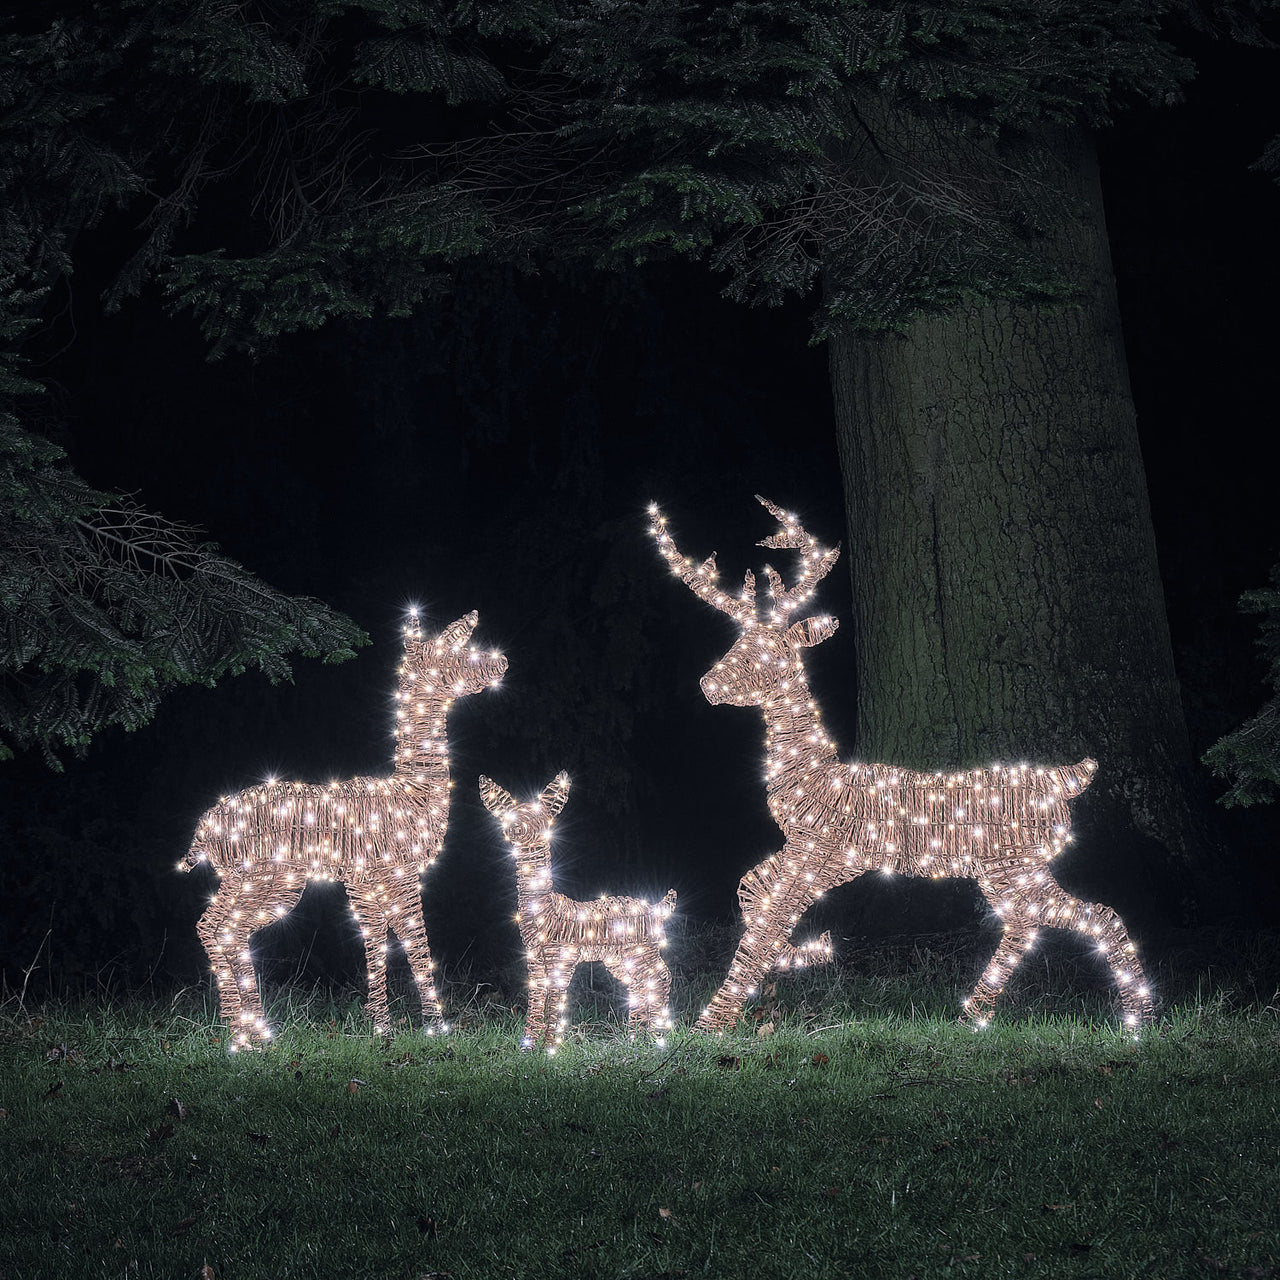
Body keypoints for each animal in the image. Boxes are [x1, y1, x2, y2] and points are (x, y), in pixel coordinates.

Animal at [181, 610, 507, 1050]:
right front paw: (431, 1027)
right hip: (266, 879)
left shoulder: (370, 882)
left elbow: (380, 938)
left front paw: (386, 1025)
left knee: (220, 929)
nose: (501, 662)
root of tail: (205, 830)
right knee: (219, 928)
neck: (414, 793)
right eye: (458, 651)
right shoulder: (395, 875)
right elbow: (415, 942)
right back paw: (248, 1036)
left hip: (253, 882)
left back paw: (253, 1034)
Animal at [478, 771, 677, 1053]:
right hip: (620, 958)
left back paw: (657, 1037)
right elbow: (536, 994)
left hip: (643, 950)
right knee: (640, 983)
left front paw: (549, 1048)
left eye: (540, 818)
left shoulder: (562, 956)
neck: (545, 909)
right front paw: (527, 1045)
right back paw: (635, 1039)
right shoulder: (534, 957)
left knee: (661, 976)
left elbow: (555, 995)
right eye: (508, 816)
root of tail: (659, 908)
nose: (515, 829)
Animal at [649, 496, 1155, 1035]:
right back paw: (986, 1012)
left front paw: (713, 1020)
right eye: (736, 643)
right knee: (1043, 920)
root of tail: (1066, 779)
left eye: (765, 652)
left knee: (1080, 915)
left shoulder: (819, 852)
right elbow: (750, 889)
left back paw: (1133, 1019)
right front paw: (790, 963)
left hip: (1015, 864)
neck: (810, 773)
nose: (708, 685)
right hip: (1016, 868)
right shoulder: (812, 853)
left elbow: (767, 919)